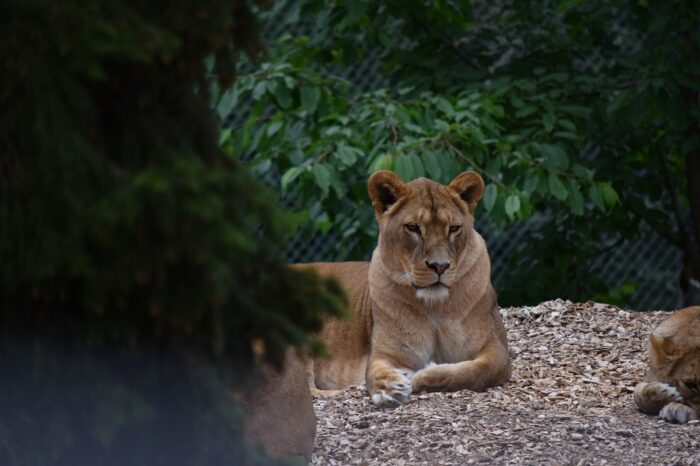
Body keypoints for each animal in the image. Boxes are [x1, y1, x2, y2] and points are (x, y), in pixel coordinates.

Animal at [296, 170, 511, 407]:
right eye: (413, 227)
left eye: (454, 228)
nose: (440, 266)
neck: (435, 307)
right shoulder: (384, 353)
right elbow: (375, 372)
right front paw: (389, 388)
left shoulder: (496, 348)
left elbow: (476, 372)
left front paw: (423, 374)